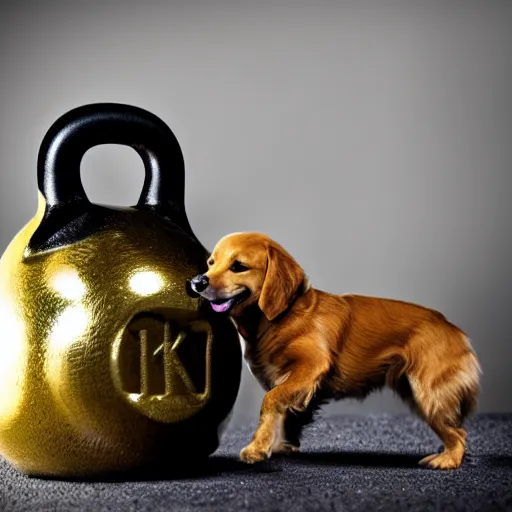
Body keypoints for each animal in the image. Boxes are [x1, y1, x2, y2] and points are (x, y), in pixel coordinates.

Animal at [187, 234, 480, 470]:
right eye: (211, 263)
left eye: (238, 266)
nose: (197, 282)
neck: (281, 318)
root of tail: (455, 330)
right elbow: (287, 414)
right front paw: (280, 445)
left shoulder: (312, 365)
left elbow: (271, 401)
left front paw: (256, 449)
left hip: (428, 394)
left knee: (459, 435)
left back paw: (446, 460)